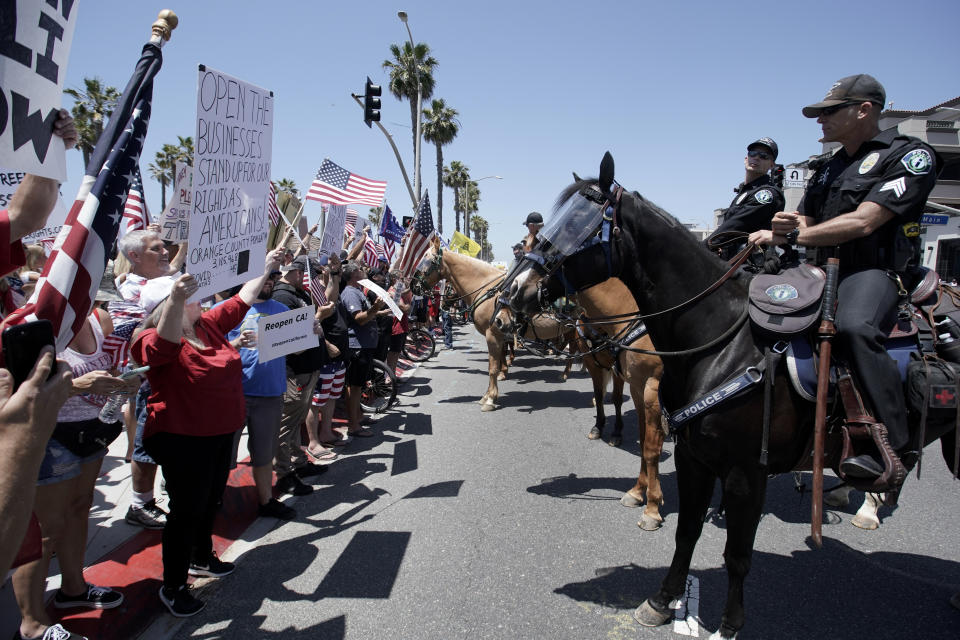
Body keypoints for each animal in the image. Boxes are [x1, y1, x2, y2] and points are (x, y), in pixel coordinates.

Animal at [422, 239, 568, 410]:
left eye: (428, 260)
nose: (413, 285)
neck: (487, 291)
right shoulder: (500, 335)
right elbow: (499, 358)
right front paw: (498, 380)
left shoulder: (493, 334)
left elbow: (492, 367)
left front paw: (490, 398)